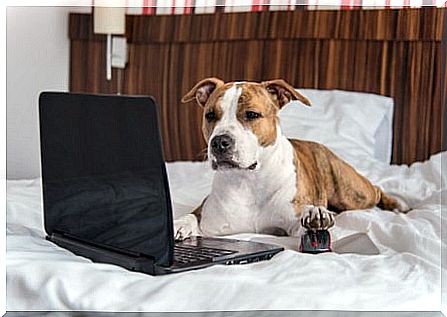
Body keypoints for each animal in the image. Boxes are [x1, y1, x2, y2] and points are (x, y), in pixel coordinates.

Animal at [172, 78, 410, 239]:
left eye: (251, 115)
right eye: (210, 115)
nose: (219, 142)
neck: (249, 180)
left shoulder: (292, 225)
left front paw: (315, 213)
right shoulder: (209, 220)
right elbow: (192, 216)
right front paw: (178, 224)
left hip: (351, 193)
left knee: (376, 191)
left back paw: (399, 204)